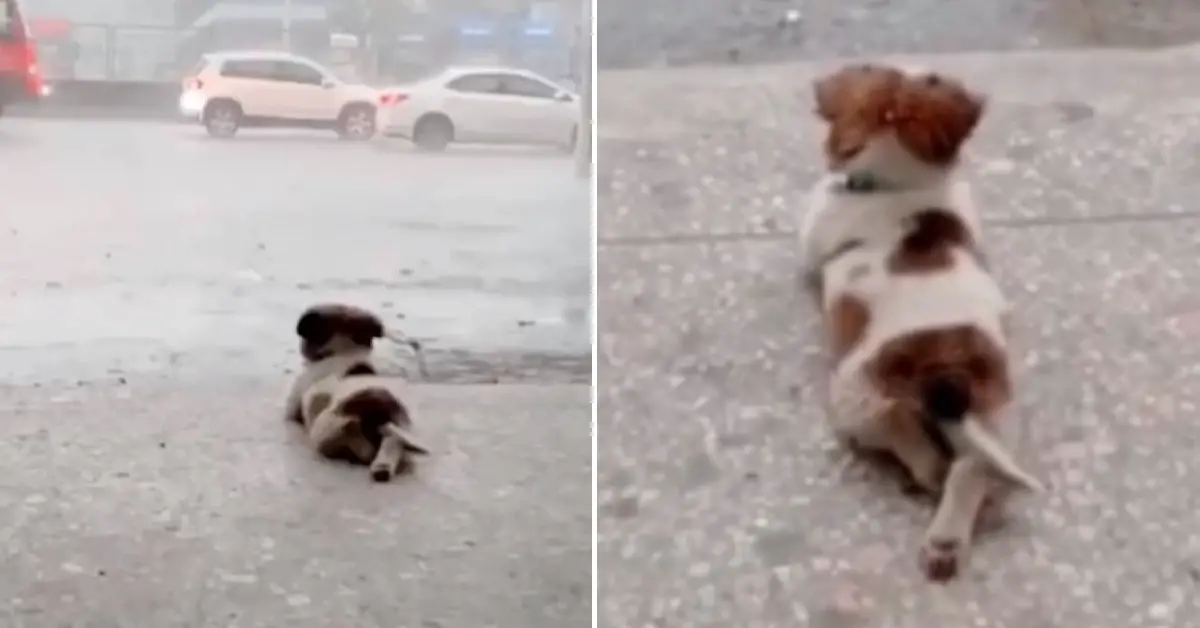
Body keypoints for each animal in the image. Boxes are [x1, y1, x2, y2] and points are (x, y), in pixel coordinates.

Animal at [283, 303, 429, 482]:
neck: (346, 349)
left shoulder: (293, 405)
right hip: (397, 431)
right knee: (387, 445)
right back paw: (381, 466)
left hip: (325, 426)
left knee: (354, 438)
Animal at [801, 62, 1046, 581]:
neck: (898, 181)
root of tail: (945, 362)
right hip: (995, 411)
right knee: (970, 467)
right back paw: (946, 542)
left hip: (854, 394)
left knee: (906, 437)